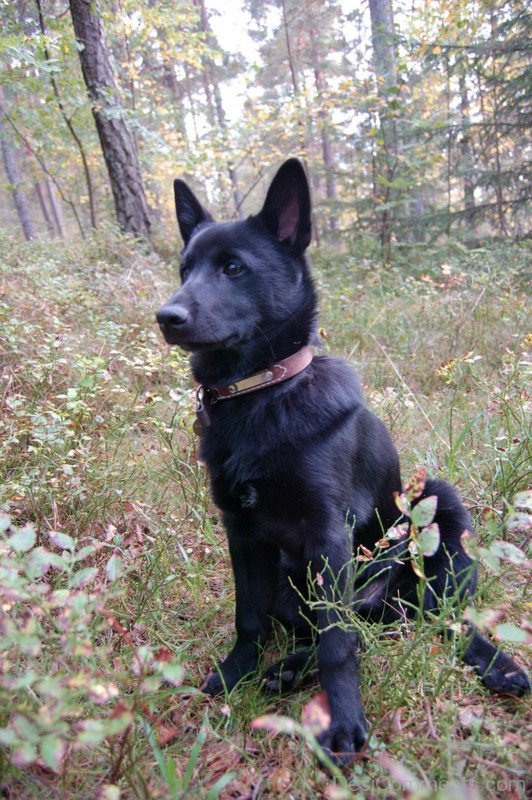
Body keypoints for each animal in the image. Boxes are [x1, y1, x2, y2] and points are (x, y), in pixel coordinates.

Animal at [156, 159, 528, 764]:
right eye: (185, 269)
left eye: (233, 267)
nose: (166, 316)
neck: (264, 394)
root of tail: (388, 604)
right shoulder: (241, 532)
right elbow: (248, 617)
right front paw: (236, 673)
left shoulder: (328, 533)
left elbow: (337, 644)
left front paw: (345, 723)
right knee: (345, 626)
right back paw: (285, 669)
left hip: (437, 511)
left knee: (429, 619)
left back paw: (498, 665)